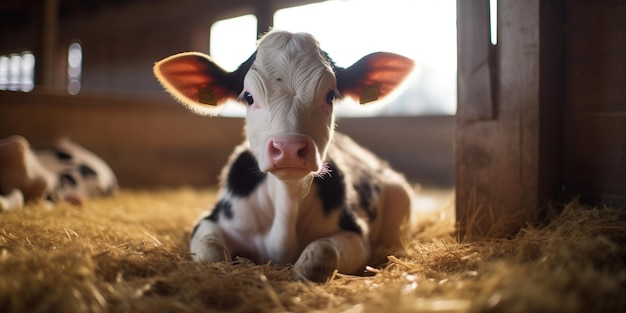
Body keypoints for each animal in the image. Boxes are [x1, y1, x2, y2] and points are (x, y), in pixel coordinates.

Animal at [152, 30, 414, 282]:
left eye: (330, 95)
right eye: (249, 97)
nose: (289, 148)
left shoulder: (356, 233)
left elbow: (318, 258)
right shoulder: (210, 220)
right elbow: (212, 256)